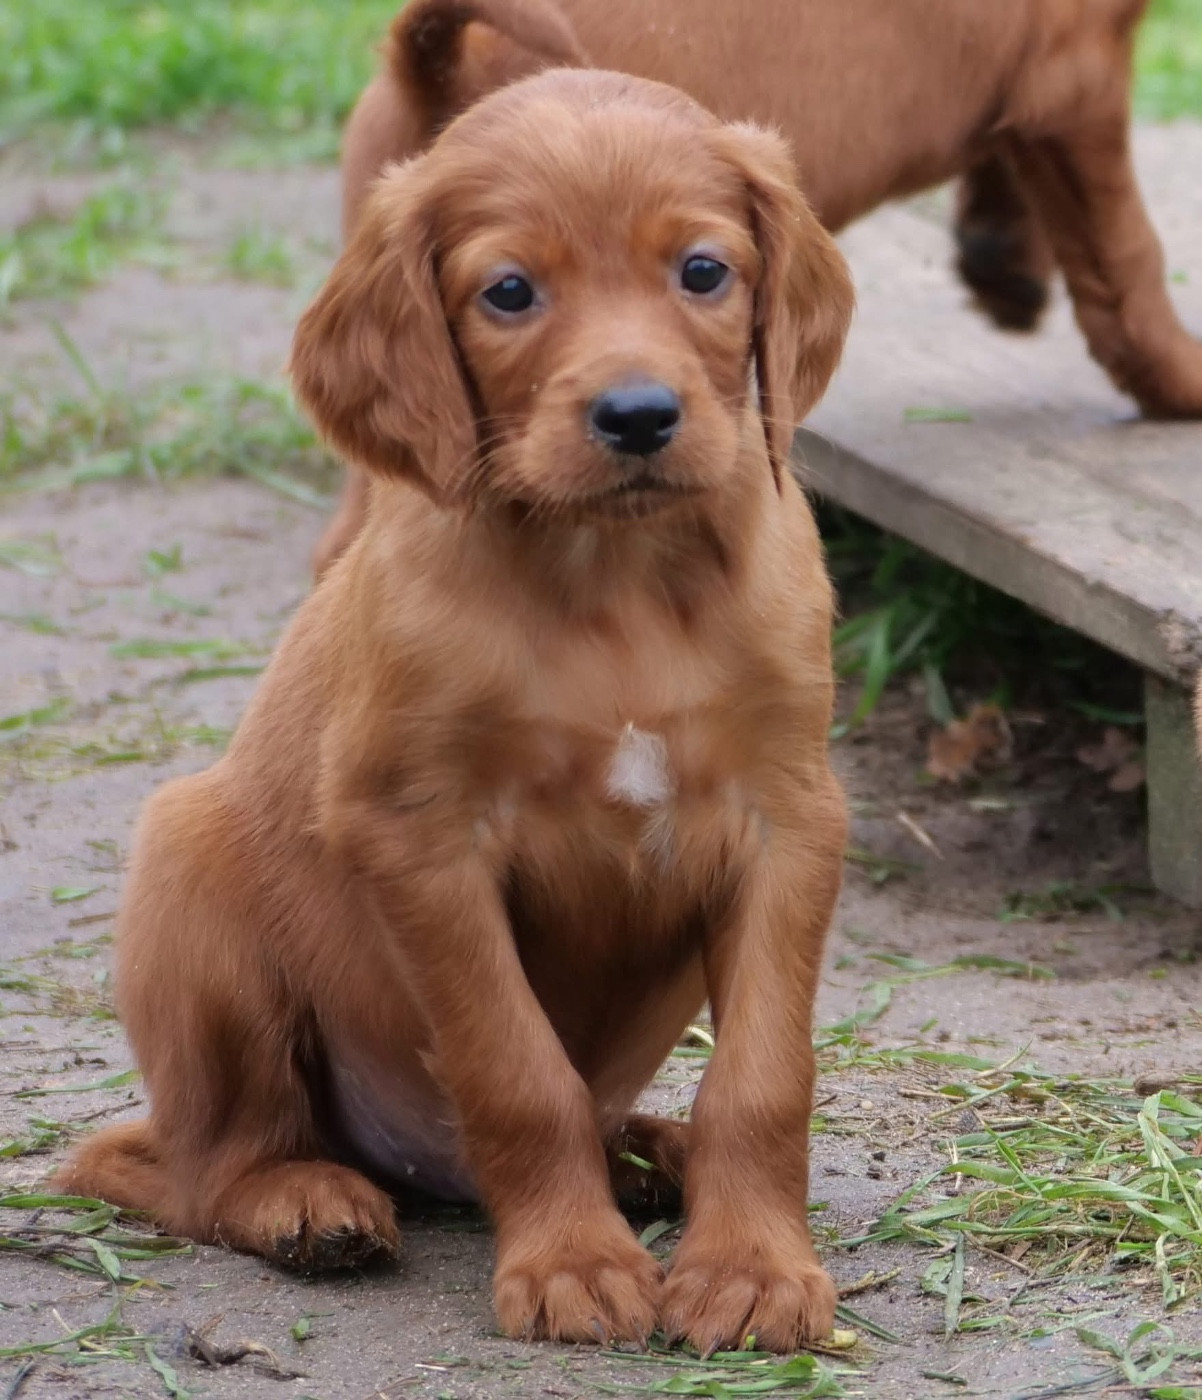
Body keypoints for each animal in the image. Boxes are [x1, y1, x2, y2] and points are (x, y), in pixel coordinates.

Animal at [55, 68, 855, 1353]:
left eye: (701, 270)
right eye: (509, 291)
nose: (638, 414)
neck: (613, 573)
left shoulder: (787, 816)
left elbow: (762, 1072)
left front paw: (751, 1267)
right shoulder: (420, 834)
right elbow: (515, 1070)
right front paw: (574, 1260)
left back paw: (651, 1154)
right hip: (189, 876)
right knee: (187, 1161)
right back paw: (308, 1199)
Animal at [311, 0, 1202, 577]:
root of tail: (439, 60)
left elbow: (1003, 166)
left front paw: (1003, 265)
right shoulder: (1076, 78)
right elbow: (1127, 255)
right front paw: (1179, 380)